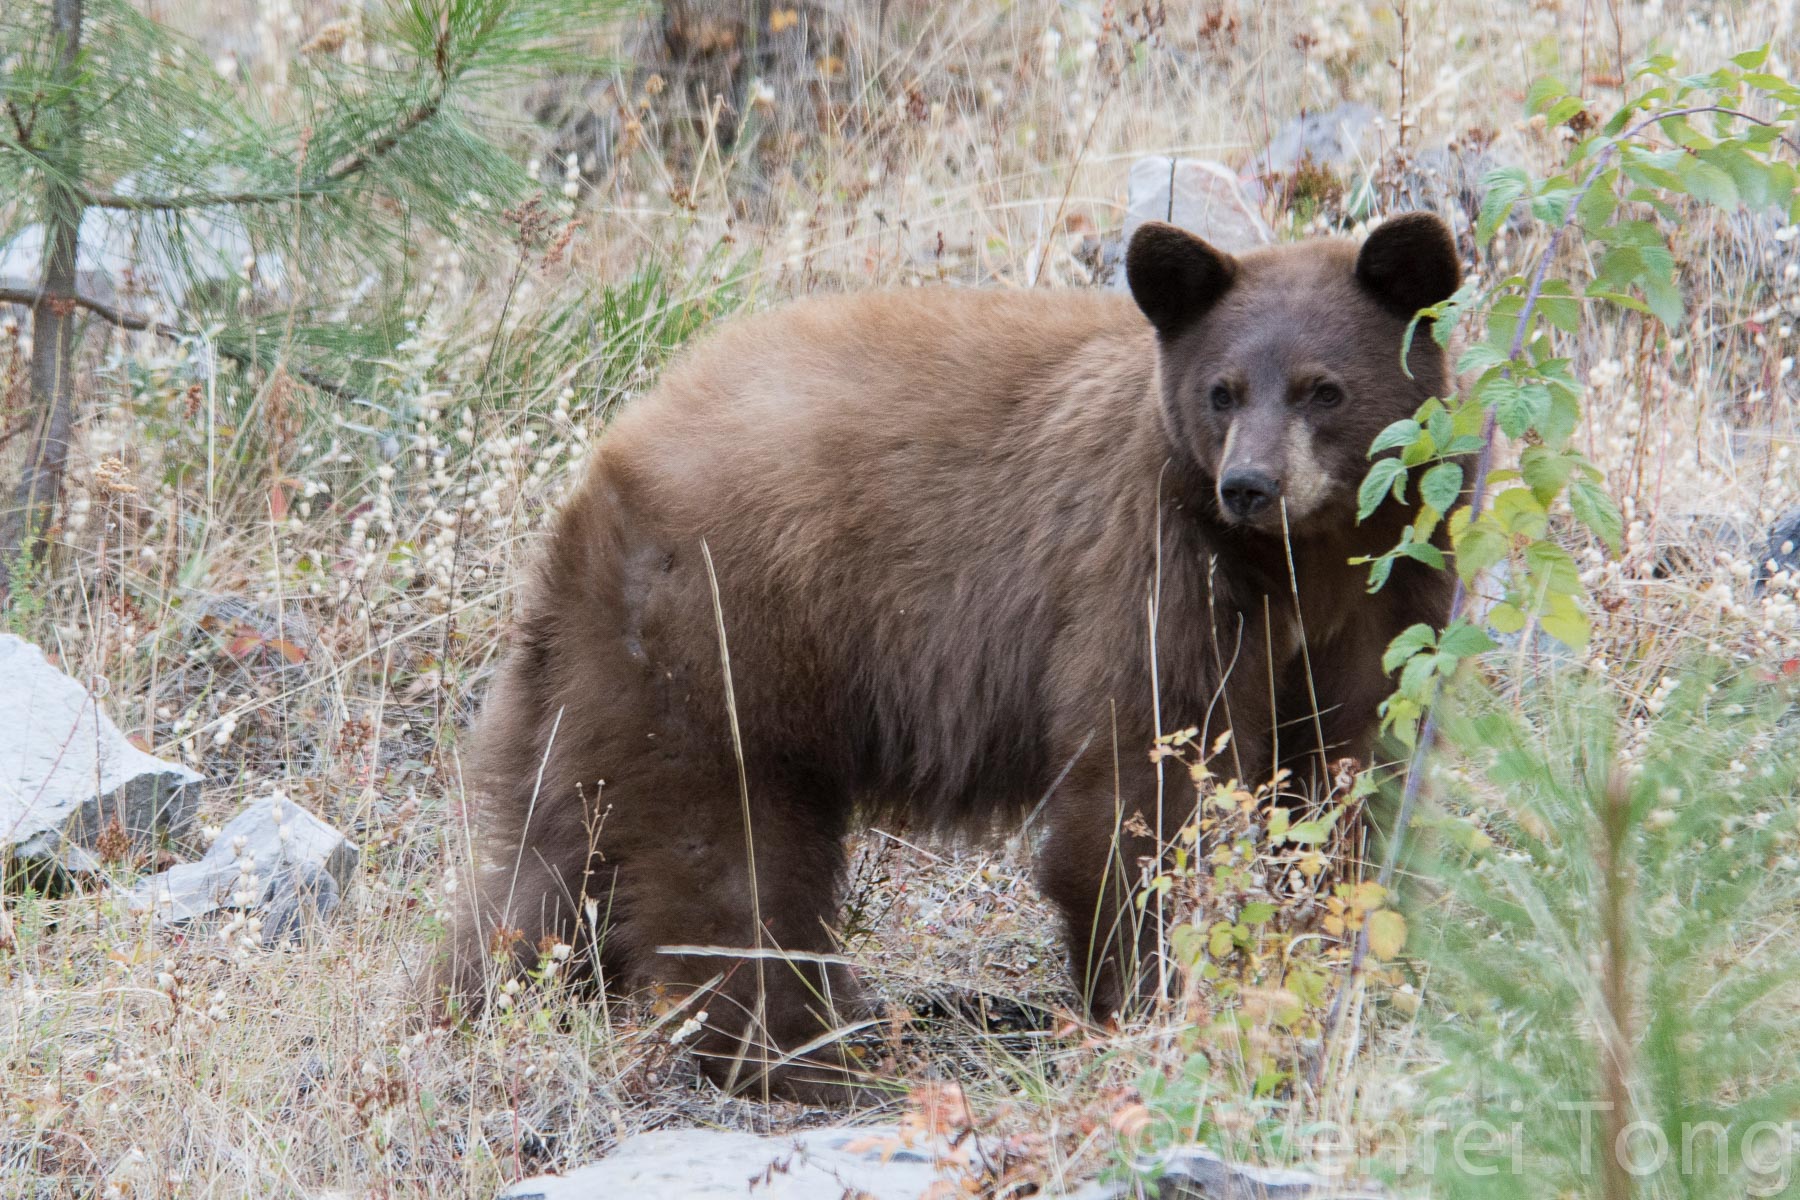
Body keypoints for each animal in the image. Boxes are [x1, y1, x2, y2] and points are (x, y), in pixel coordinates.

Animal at [435, 213, 1461, 1101]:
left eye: (1324, 388)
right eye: (1224, 391)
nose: (1250, 484)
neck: (1302, 562)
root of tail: (593, 488)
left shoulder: (1388, 594)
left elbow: (1352, 765)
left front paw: (1340, 946)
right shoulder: (1152, 566)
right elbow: (1146, 782)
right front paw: (1158, 1000)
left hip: (595, 680)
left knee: (550, 868)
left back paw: (472, 1004)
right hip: (726, 648)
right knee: (731, 870)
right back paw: (804, 1059)